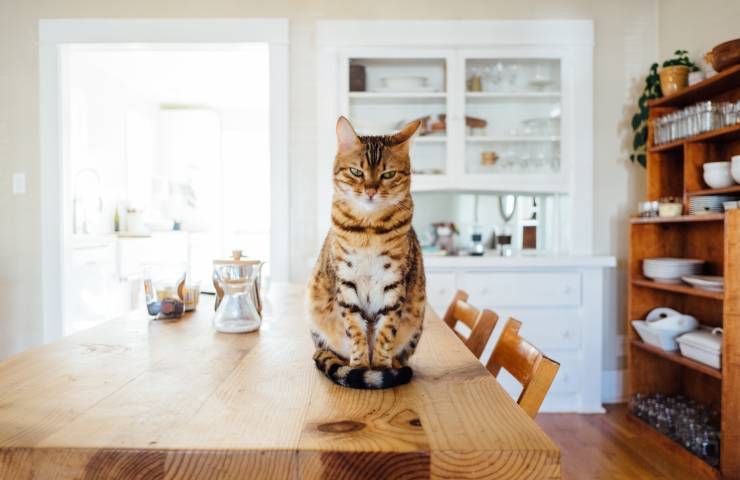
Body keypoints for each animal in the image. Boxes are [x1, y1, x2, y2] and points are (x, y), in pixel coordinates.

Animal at [304, 116, 422, 390]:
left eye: (388, 174)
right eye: (356, 172)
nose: (370, 190)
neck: (369, 229)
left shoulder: (394, 282)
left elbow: (386, 331)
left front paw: (380, 368)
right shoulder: (346, 281)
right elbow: (355, 330)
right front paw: (359, 367)